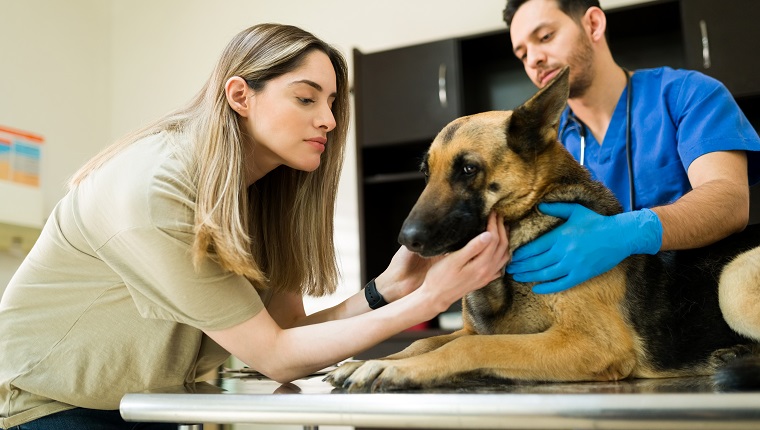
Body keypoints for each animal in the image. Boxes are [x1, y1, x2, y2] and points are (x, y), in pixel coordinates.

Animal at [326, 67, 760, 394]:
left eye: (467, 169)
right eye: (425, 172)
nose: (406, 241)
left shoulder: (591, 343)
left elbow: (470, 345)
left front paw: (394, 369)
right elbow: (425, 339)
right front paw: (372, 360)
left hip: (733, 282)